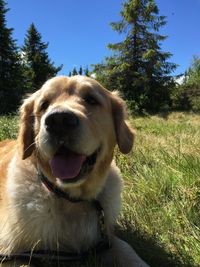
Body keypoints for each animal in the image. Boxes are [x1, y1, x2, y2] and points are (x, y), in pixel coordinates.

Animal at [0, 76, 149, 267]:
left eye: (91, 99)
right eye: (44, 104)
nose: (58, 121)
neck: (71, 200)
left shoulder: (105, 241)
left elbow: (128, 250)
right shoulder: (10, 253)